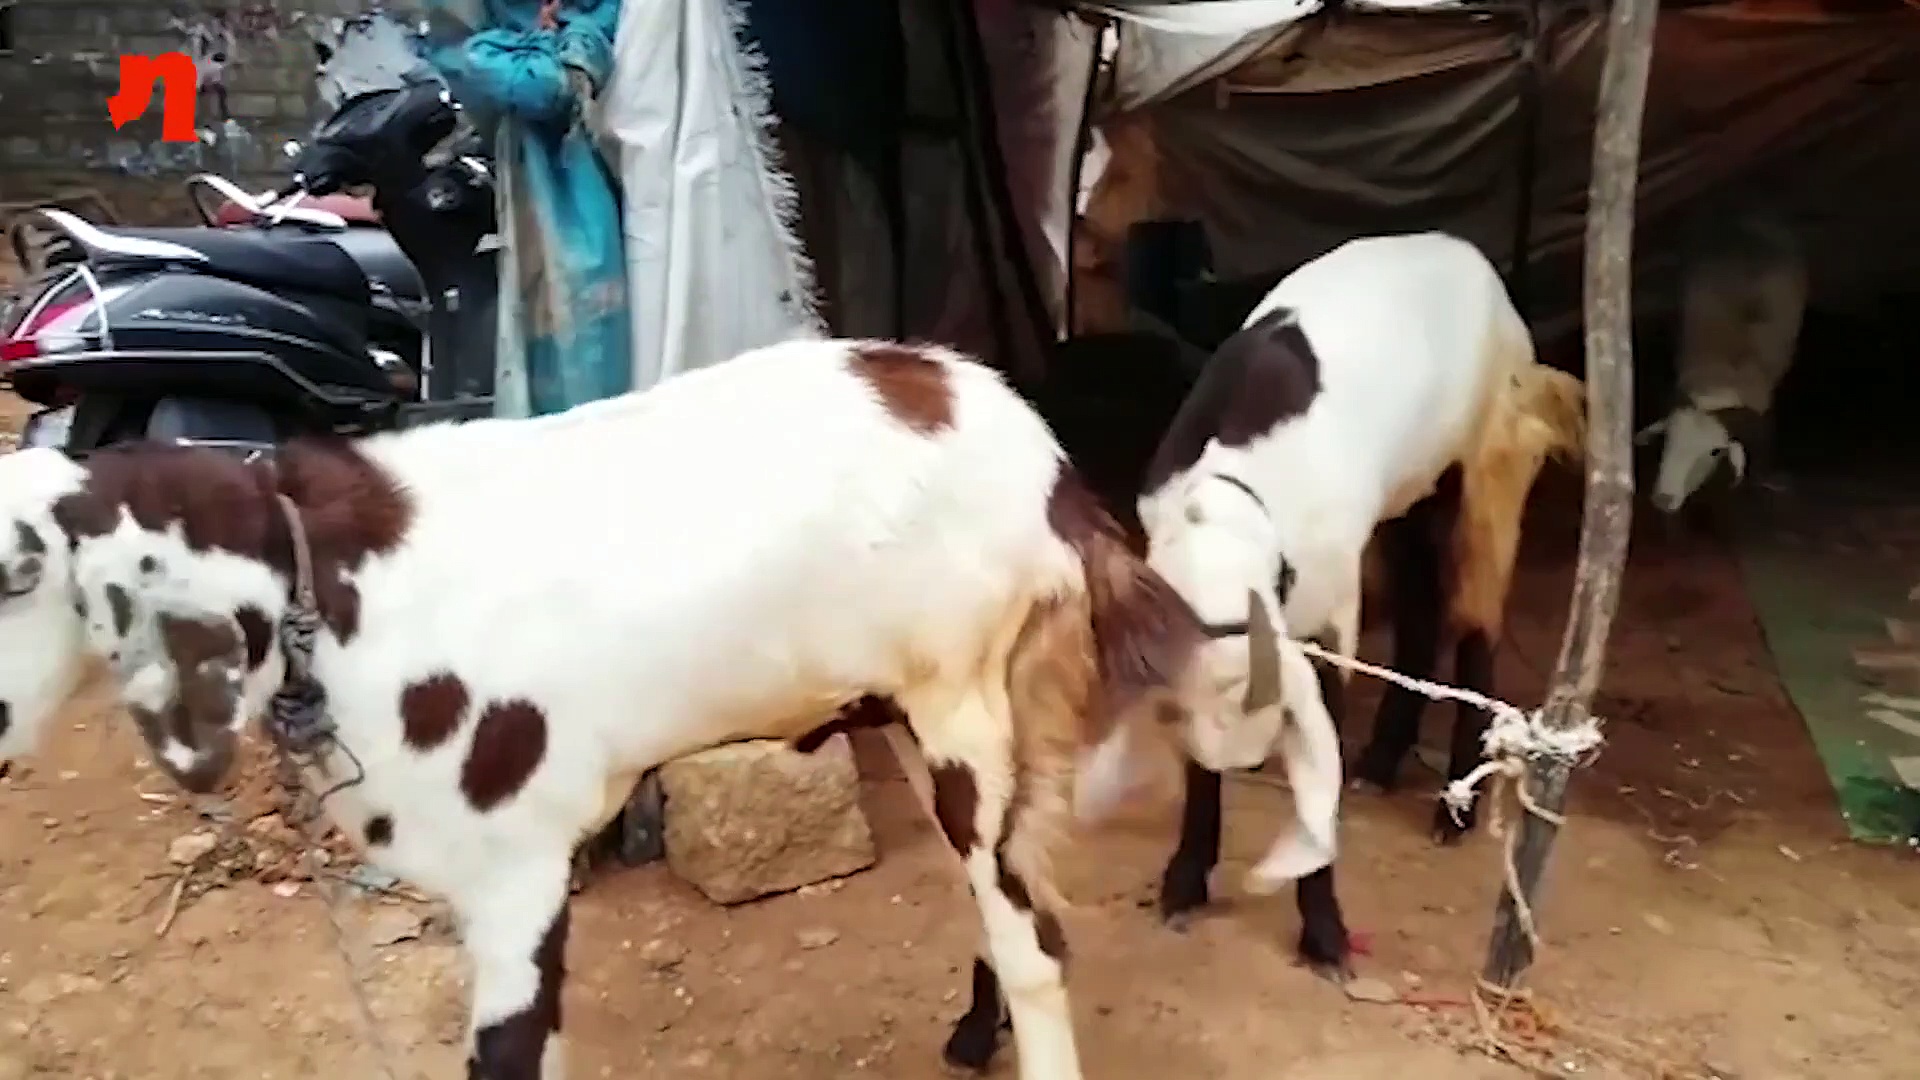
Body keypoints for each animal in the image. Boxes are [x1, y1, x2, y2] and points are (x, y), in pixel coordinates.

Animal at [0, 339, 1268, 1080]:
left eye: (21, 570)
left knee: (1038, 939)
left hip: (966, 704)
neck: (341, 581)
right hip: (915, 708)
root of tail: (1047, 464)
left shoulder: (516, 867)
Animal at [1136, 232, 1585, 976]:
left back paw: (1456, 808)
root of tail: (1472, 257)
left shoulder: (1326, 619)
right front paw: (1185, 882)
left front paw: (1324, 936)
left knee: (1475, 620)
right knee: (1422, 610)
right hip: (1409, 497)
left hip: (1485, 469)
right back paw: (1381, 763)